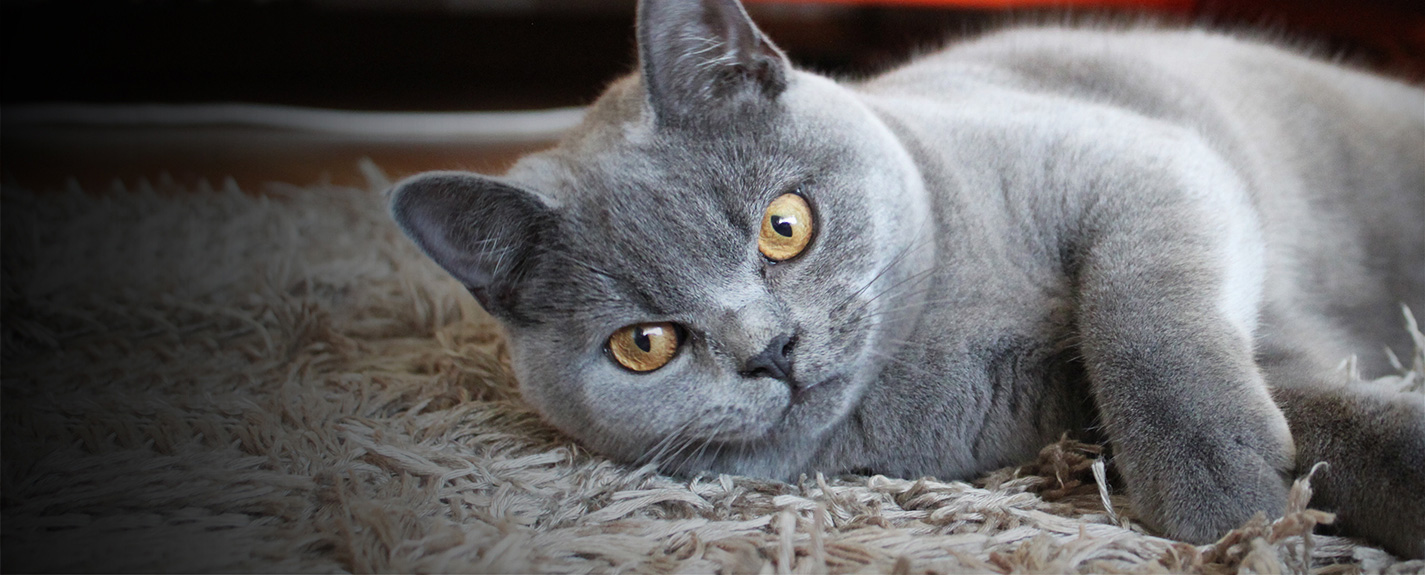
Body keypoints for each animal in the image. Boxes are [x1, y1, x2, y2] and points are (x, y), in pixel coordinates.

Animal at [390, 0, 1425, 557]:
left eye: (784, 225)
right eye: (644, 344)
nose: (770, 348)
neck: (931, 339)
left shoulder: (1134, 160)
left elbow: (1140, 316)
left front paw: (1220, 497)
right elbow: (1327, 416)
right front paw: (1255, 505)